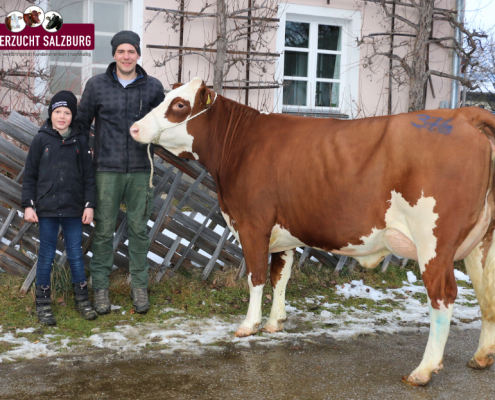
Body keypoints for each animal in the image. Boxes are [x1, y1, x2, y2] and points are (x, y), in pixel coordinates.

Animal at [131, 76, 495, 386]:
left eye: (179, 104)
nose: (135, 127)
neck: (242, 145)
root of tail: (462, 114)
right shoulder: (282, 231)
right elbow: (281, 276)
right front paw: (275, 323)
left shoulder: (252, 224)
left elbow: (256, 276)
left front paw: (248, 326)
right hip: (481, 243)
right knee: (486, 293)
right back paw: (481, 357)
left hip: (434, 243)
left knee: (443, 296)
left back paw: (423, 370)